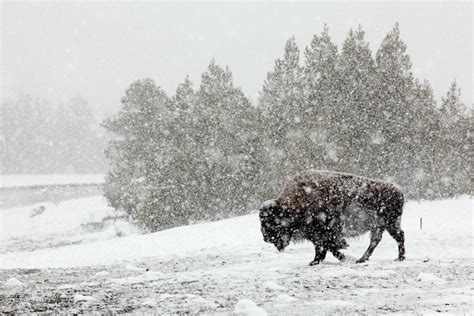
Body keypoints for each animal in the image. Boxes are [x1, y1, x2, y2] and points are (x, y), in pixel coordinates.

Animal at [258, 169, 406, 266]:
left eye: (270, 220)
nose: (266, 238)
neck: (297, 203)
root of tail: (399, 191)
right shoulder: (317, 235)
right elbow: (324, 248)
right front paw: (316, 261)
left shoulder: (325, 232)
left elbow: (329, 247)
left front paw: (342, 256)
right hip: (380, 226)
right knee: (378, 240)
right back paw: (363, 259)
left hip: (389, 224)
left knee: (397, 237)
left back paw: (398, 258)